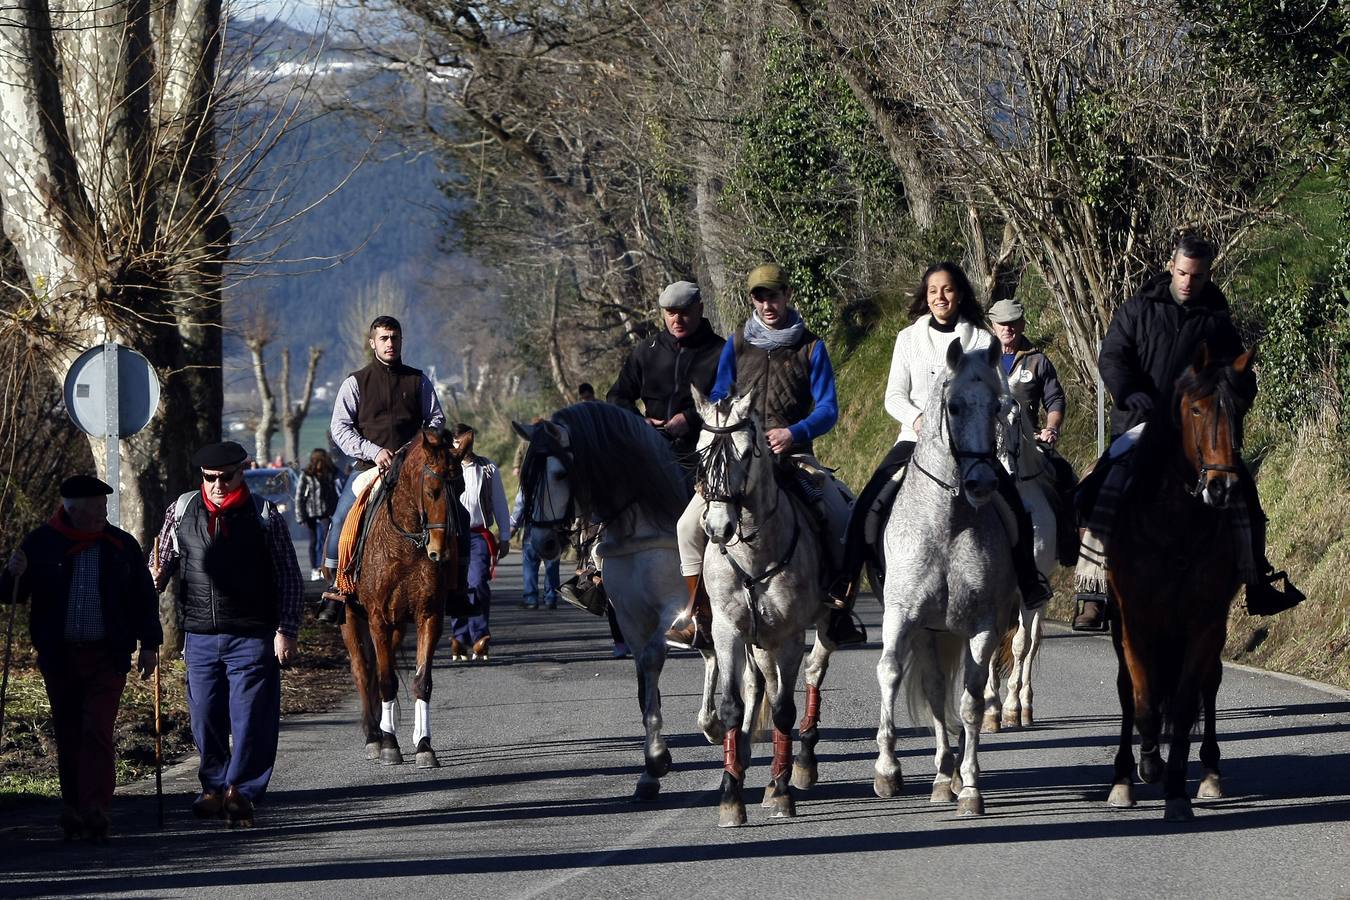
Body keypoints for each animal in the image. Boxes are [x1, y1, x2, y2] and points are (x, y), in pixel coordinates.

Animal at [340, 429, 467, 766]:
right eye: (433, 491)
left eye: (462, 489)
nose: (441, 552)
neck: (407, 545)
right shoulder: (377, 618)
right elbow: (385, 680)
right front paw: (389, 746)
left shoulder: (428, 616)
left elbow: (421, 682)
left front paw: (423, 745)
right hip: (351, 617)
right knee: (363, 671)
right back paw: (374, 736)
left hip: (397, 626)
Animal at [510, 402, 723, 804]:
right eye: (527, 478)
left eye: (560, 473)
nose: (543, 543)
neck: (643, 523)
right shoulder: (629, 616)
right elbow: (644, 685)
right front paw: (652, 768)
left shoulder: (675, 609)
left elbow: (654, 658)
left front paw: (657, 759)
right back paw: (714, 723)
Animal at [691, 391, 837, 825]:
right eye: (701, 452)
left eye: (744, 452)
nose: (717, 529)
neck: (754, 552)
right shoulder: (727, 630)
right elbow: (733, 705)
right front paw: (731, 794)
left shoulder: (790, 634)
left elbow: (784, 709)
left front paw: (784, 792)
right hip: (759, 640)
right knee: (761, 686)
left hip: (820, 627)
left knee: (812, 673)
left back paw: (797, 767)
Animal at [869, 340, 1015, 814]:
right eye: (953, 406)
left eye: (998, 406)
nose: (982, 482)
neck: (946, 524)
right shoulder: (901, 616)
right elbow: (890, 672)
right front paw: (887, 770)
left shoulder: (984, 625)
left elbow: (971, 702)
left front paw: (970, 788)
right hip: (928, 632)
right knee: (933, 692)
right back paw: (938, 776)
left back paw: (950, 777)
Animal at [1107, 348, 1252, 825]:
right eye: (1196, 410)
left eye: (1240, 409)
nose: (1222, 487)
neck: (1176, 527)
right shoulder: (1136, 620)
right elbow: (1143, 701)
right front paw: (1147, 765)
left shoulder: (1206, 621)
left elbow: (1187, 703)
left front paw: (1176, 792)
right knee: (1129, 691)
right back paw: (1124, 776)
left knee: (1209, 684)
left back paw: (1209, 773)